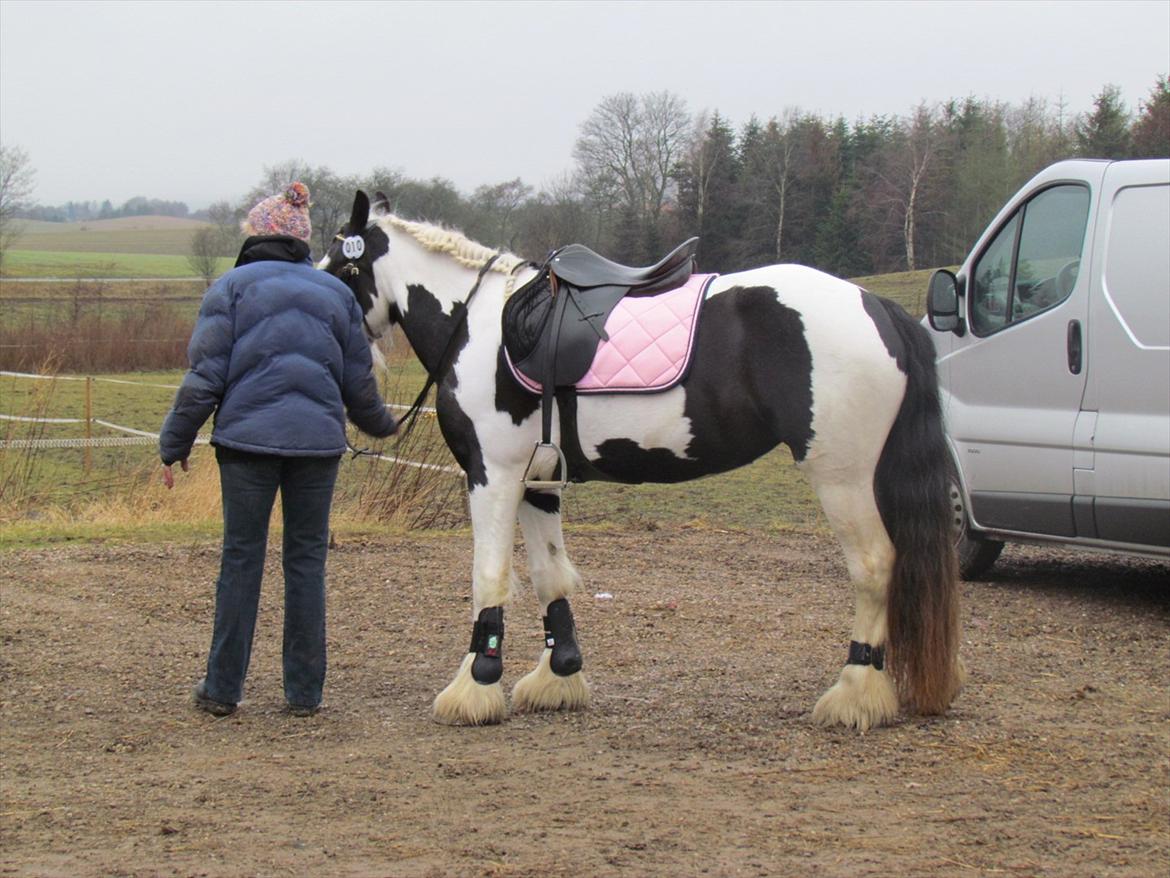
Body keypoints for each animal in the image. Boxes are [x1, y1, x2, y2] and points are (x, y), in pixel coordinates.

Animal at [320, 190, 962, 732]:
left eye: (344, 266)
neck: (482, 326)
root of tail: (875, 306)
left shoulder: (492, 476)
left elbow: (489, 577)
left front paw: (476, 685)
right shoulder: (536, 481)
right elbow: (551, 575)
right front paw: (558, 675)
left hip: (843, 478)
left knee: (875, 566)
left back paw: (855, 692)